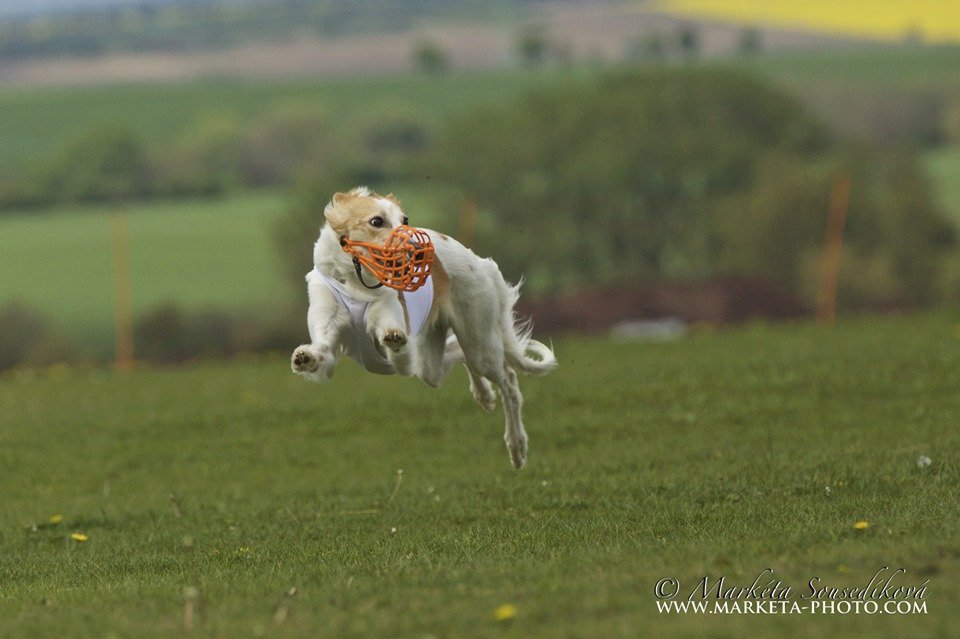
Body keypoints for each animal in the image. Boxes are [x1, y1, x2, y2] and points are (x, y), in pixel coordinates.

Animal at [288, 188, 556, 468]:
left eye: (405, 220)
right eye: (376, 221)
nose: (417, 251)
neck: (355, 283)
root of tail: (479, 261)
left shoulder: (398, 339)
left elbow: (393, 337)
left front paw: (392, 337)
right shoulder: (327, 325)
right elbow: (322, 351)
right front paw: (305, 357)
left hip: (479, 342)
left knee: (509, 379)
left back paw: (517, 445)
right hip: (432, 363)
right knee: (457, 354)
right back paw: (484, 395)